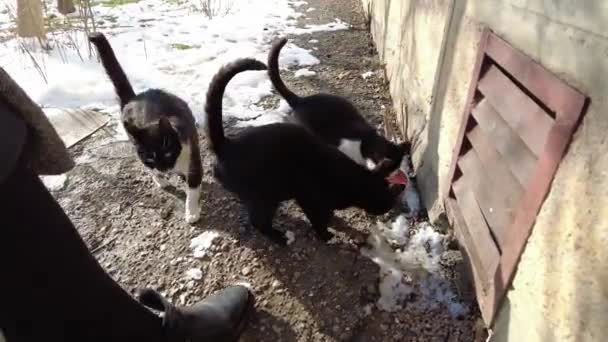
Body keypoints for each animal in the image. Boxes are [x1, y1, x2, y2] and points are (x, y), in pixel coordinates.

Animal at [88, 32, 203, 224]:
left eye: (167, 153)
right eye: (150, 158)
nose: (164, 169)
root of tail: (134, 98)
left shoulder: (192, 157)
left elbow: (193, 188)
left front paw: (191, 212)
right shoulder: (146, 158)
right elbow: (151, 169)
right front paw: (162, 180)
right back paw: (162, 181)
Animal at [204, 59, 404, 246]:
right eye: (387, 203)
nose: (399, 189)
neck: (354, 177)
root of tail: (226, 144)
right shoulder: (309, 199)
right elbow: (319, 220)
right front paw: (328, 236)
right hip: (264, 196)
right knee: (258, 222)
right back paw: (280, 238)